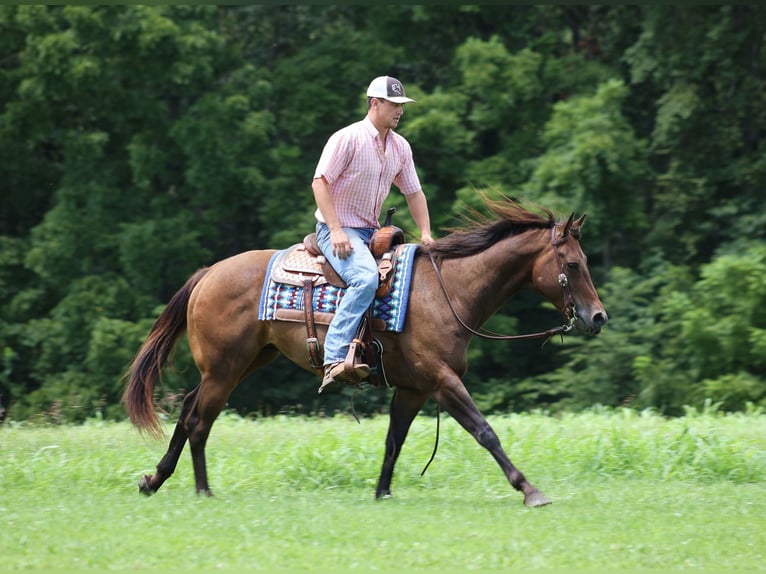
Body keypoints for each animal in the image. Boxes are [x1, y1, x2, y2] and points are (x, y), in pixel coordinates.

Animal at [123, 198, 608, 508]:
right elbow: (485, 431)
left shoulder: (414, 389)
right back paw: (203, 490)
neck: (446, 291)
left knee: (188, 410)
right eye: (572, 265)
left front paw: (382, 492)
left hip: (242, 363)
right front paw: (530, 490)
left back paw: (154, 480)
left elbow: (394, 440)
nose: (598, 317)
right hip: (225, 370)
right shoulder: (442, 381)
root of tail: (208, 274)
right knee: (199, 421)